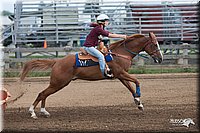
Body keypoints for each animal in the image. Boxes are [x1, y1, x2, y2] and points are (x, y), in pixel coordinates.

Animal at [19, 32, 162, 118]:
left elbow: (130, 88)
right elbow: (137, 81)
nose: (160, 59)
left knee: (44, 94)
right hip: (59, 83)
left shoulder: (121, 75)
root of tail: (57, 61)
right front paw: (139, 99)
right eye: (155, 44)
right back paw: (32, 112)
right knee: (42, 94)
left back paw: (44, 111)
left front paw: (138, 103)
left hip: (57, 83)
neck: (121, 53)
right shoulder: (121, 73)